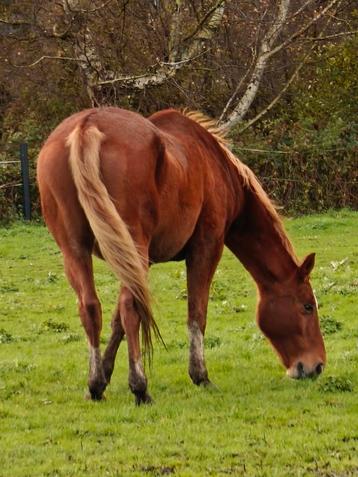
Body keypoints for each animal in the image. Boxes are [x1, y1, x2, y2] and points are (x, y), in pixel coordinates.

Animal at [37, 107, 326, 402]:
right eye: (307, 306)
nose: (316, 366)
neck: (217, 166)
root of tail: (87, 125)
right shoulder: (206, 248)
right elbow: (196, 314)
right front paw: (201, 376)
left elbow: (117, 321)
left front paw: (104, 376)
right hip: (133, 247)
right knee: (130, 309)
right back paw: (140, 386)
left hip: (77, 250)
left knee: (91, 306)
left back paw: (95, 384)